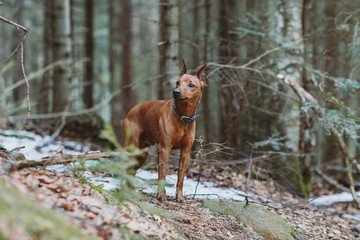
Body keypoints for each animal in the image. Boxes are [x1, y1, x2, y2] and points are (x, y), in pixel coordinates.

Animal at [124, 59, 207, 202]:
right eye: (178, 82)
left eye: (191, 85)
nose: (176, 92)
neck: (182, 117)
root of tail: (131, 111)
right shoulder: (164, 149)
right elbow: (162, 174)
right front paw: (161, 195)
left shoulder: (185, 153)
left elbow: (181, 178)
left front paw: (180, 197)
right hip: (133, 148)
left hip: (142, 155)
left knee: (132, 170)